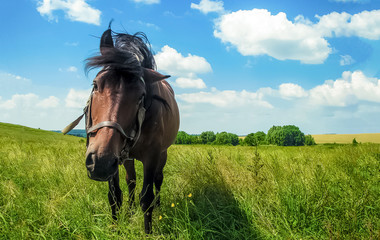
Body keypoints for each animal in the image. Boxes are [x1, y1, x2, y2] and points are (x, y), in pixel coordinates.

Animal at [64, 27, 180, 233]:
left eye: (141, 95)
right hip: (125, 157)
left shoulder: (151, 156)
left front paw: (148, 232)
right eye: (95, 85)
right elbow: (115, 195)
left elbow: (147, 197)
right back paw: (131, 210)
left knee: (158, 179)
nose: (100, 162)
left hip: (161, 153)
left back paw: (158, 206)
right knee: (131, 180)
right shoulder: (114, 158)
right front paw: (114, 228)